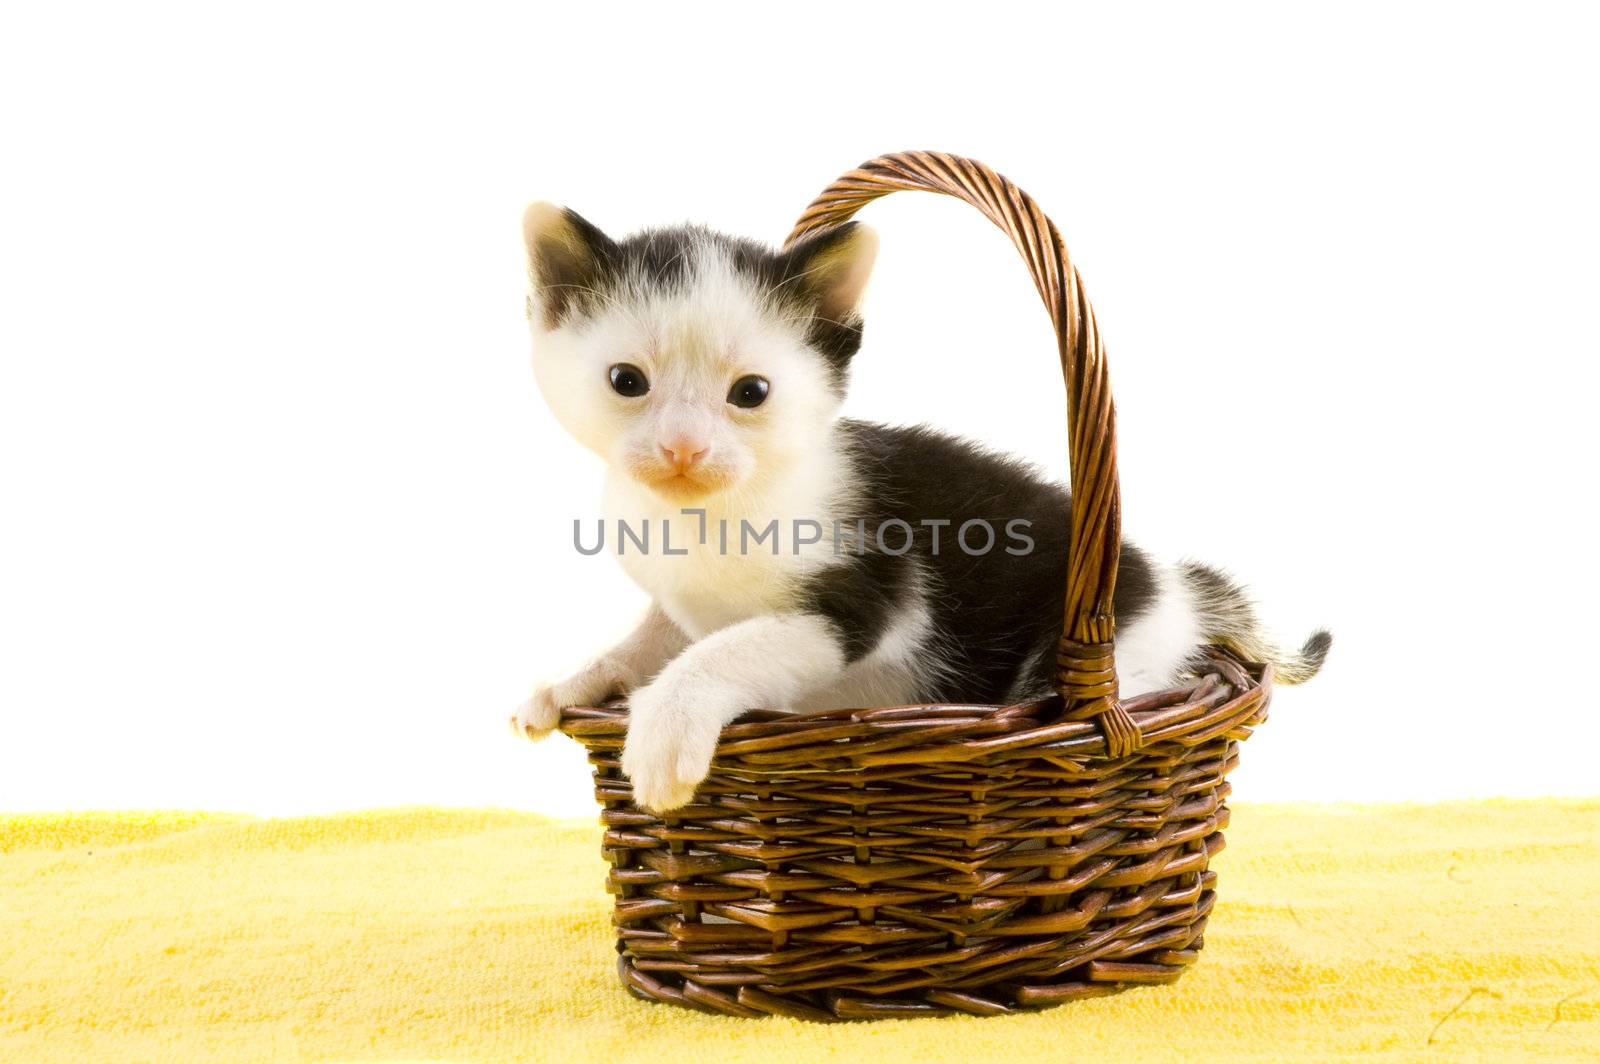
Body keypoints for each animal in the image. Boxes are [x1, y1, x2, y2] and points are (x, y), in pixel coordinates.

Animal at [508, 203, 1324, 809]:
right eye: (626, 381)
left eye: (751, 392)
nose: (683, 449)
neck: (712, 513)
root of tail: (1168, 581)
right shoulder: (680, 598)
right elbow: (654, 638)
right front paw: (573, 683)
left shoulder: (871, 596)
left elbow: (729, 648)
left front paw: (667, 726)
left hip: (1115, 650)